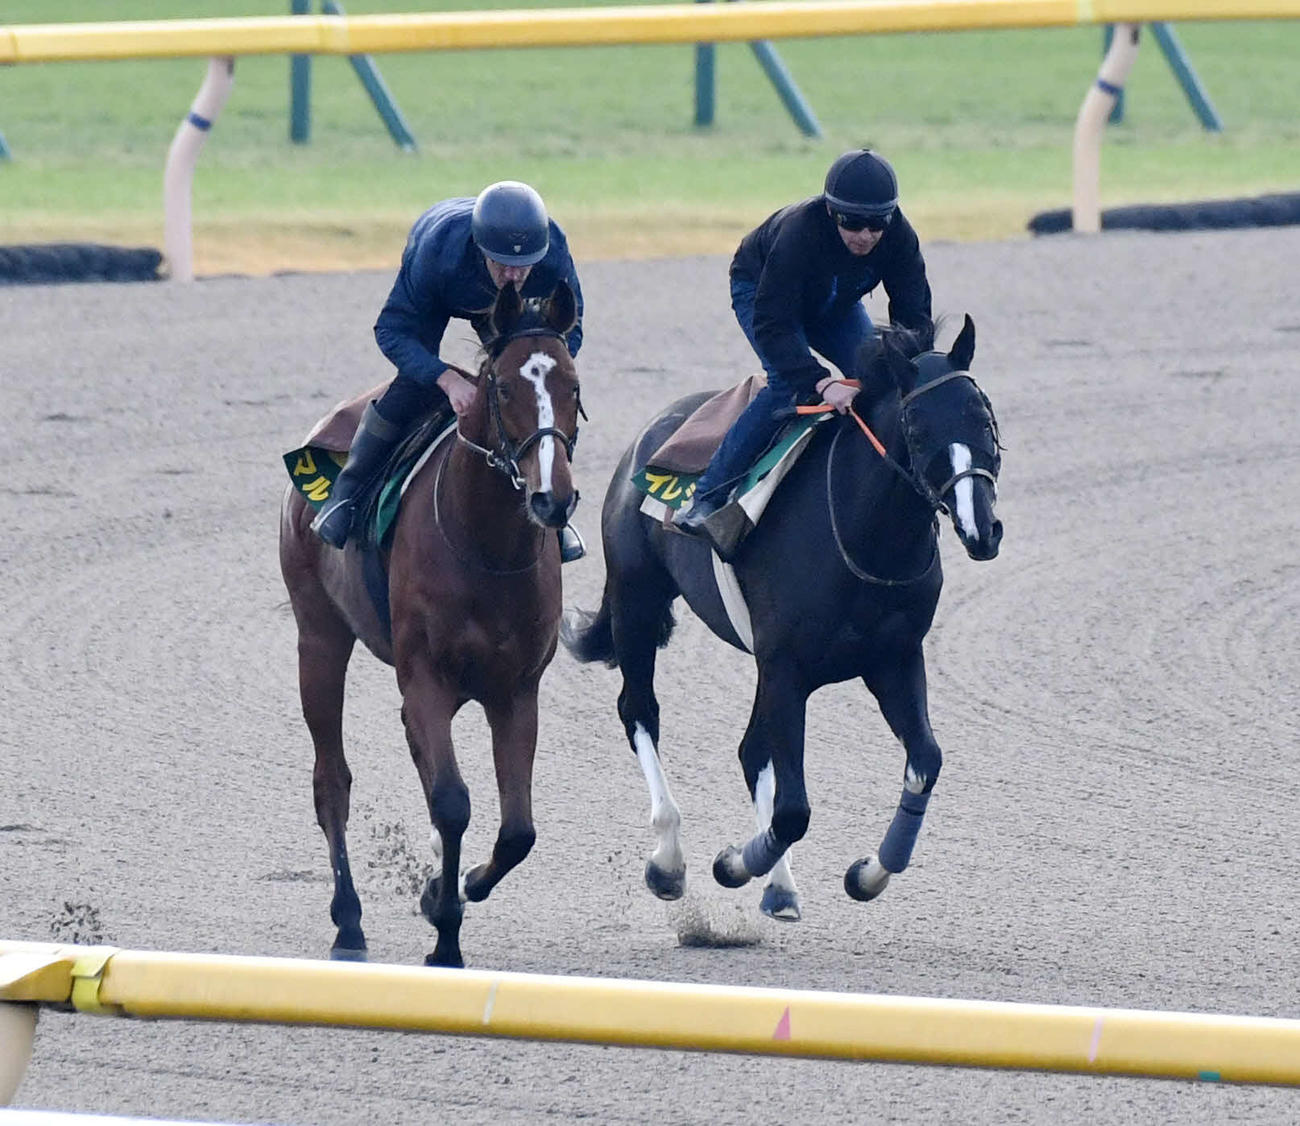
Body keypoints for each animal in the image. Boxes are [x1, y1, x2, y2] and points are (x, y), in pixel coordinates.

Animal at [279, 281, 582, 968]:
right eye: (504, 388)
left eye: (572, 385)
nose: (552, 498)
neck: (486, 547)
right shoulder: (426, 679)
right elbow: (451, 803)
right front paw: (445, 935)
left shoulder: (517, 690)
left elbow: (518, 829)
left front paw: (453, 887)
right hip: (319, 636)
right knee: (330, 780)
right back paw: (348, 921)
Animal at [562, 315, 1002, 922]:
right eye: (915, 426)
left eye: (983, 415)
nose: (982, 528)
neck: (864, 538)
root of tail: (647, 436)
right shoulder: (786, 666)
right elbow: (793, 810)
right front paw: (731, 864)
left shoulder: (892, 658)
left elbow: (925, 762)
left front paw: (867, 874)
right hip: (637, 600)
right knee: (639, 710)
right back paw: (670, 861)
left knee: (750, 749)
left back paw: (779, 885)